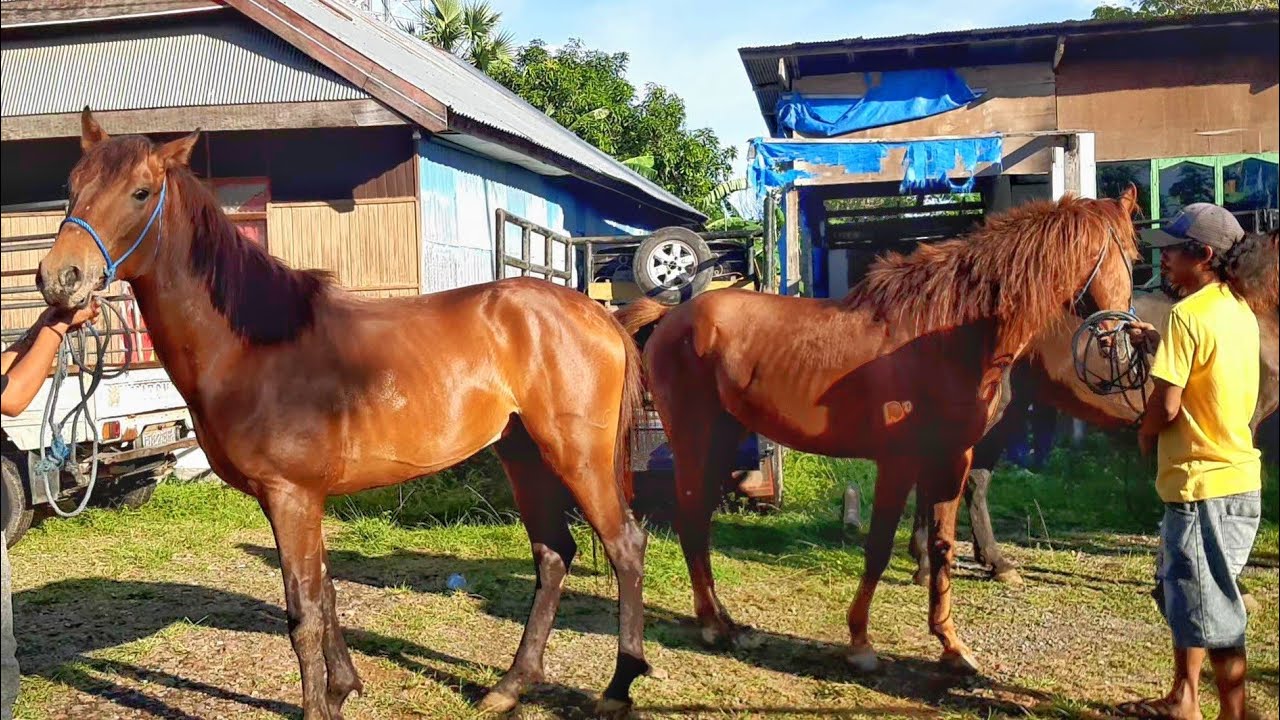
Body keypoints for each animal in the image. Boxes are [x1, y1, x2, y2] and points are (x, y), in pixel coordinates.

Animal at [35, 109, 656, 720]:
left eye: (140, 192)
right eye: (71, 186)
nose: (60, 278)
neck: (253, 345)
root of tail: (600, 316)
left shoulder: (291, 496)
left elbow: (304, 613)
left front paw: (318, 705)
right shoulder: (299, 500)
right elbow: (325, 594)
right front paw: (343, 687)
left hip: (577, 457)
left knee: (624, 546)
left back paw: (618, 688)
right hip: (523, 454)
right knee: (553, 555)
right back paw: (510, 686)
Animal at [616, 186, 1142, 673]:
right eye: (1126, 257)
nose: (1117, 343)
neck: (945, 336)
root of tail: (672, 316)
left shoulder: (952, 458)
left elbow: (943, 545)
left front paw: (952, 647)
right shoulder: (898, 461)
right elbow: (878, 548)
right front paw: (861, 644)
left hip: (724, 440)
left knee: (700, 520)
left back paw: (727, 622)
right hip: (695, 438)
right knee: (690, 519)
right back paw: (712, 625)